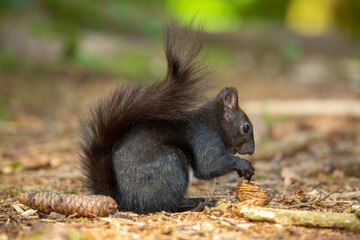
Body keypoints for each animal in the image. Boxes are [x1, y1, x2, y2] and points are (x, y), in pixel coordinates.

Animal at [80, 21, 255, 214]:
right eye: (246, 127)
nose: (252, 150)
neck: (216, 122)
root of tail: (125, 200)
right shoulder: (206, 139)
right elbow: (209, 165)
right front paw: (243, 165)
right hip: (171, 165)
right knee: (166, 205)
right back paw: (198, 204)